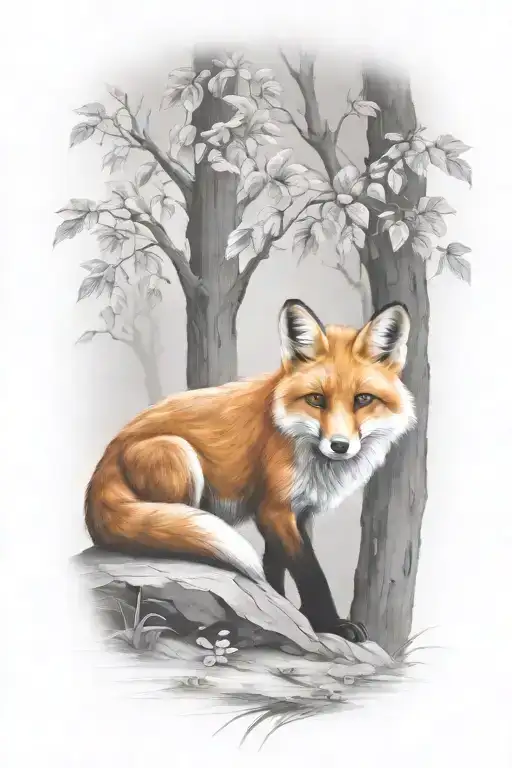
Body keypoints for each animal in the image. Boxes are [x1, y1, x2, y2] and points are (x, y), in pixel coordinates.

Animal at [85, 298, 416, 643]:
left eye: (363, 399)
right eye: (316, 399)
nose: (339, 446)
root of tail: (105, 459)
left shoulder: (293, 511)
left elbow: (276, 566)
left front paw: (283, 611)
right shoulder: (274, 509)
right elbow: (310, 572)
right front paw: (330, 623)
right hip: (177, 455)